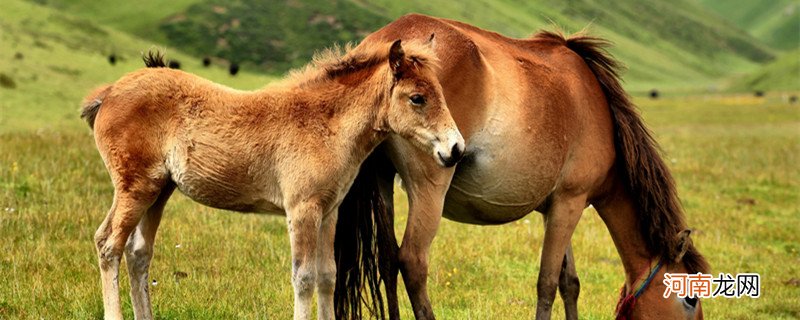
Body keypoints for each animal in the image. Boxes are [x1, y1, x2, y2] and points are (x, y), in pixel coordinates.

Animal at [80, 40, 462, 320]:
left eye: (441, 93)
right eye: (417, 98)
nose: (456, 149)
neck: (324, 125)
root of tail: (108, 93)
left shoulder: (329, 212)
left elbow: (327, 276)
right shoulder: (302, 210)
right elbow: (304, 277)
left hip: (159, 190)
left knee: (138, 253)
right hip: (135, 187)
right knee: (108, 244)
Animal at [334, 15, 708, 320]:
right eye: (690, 299)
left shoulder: (556, 208)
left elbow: (569, 282)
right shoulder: (570, 203)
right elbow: (548, 283)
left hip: (382, 182)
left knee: (386, 261)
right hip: (430, 188)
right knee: (412, 261)